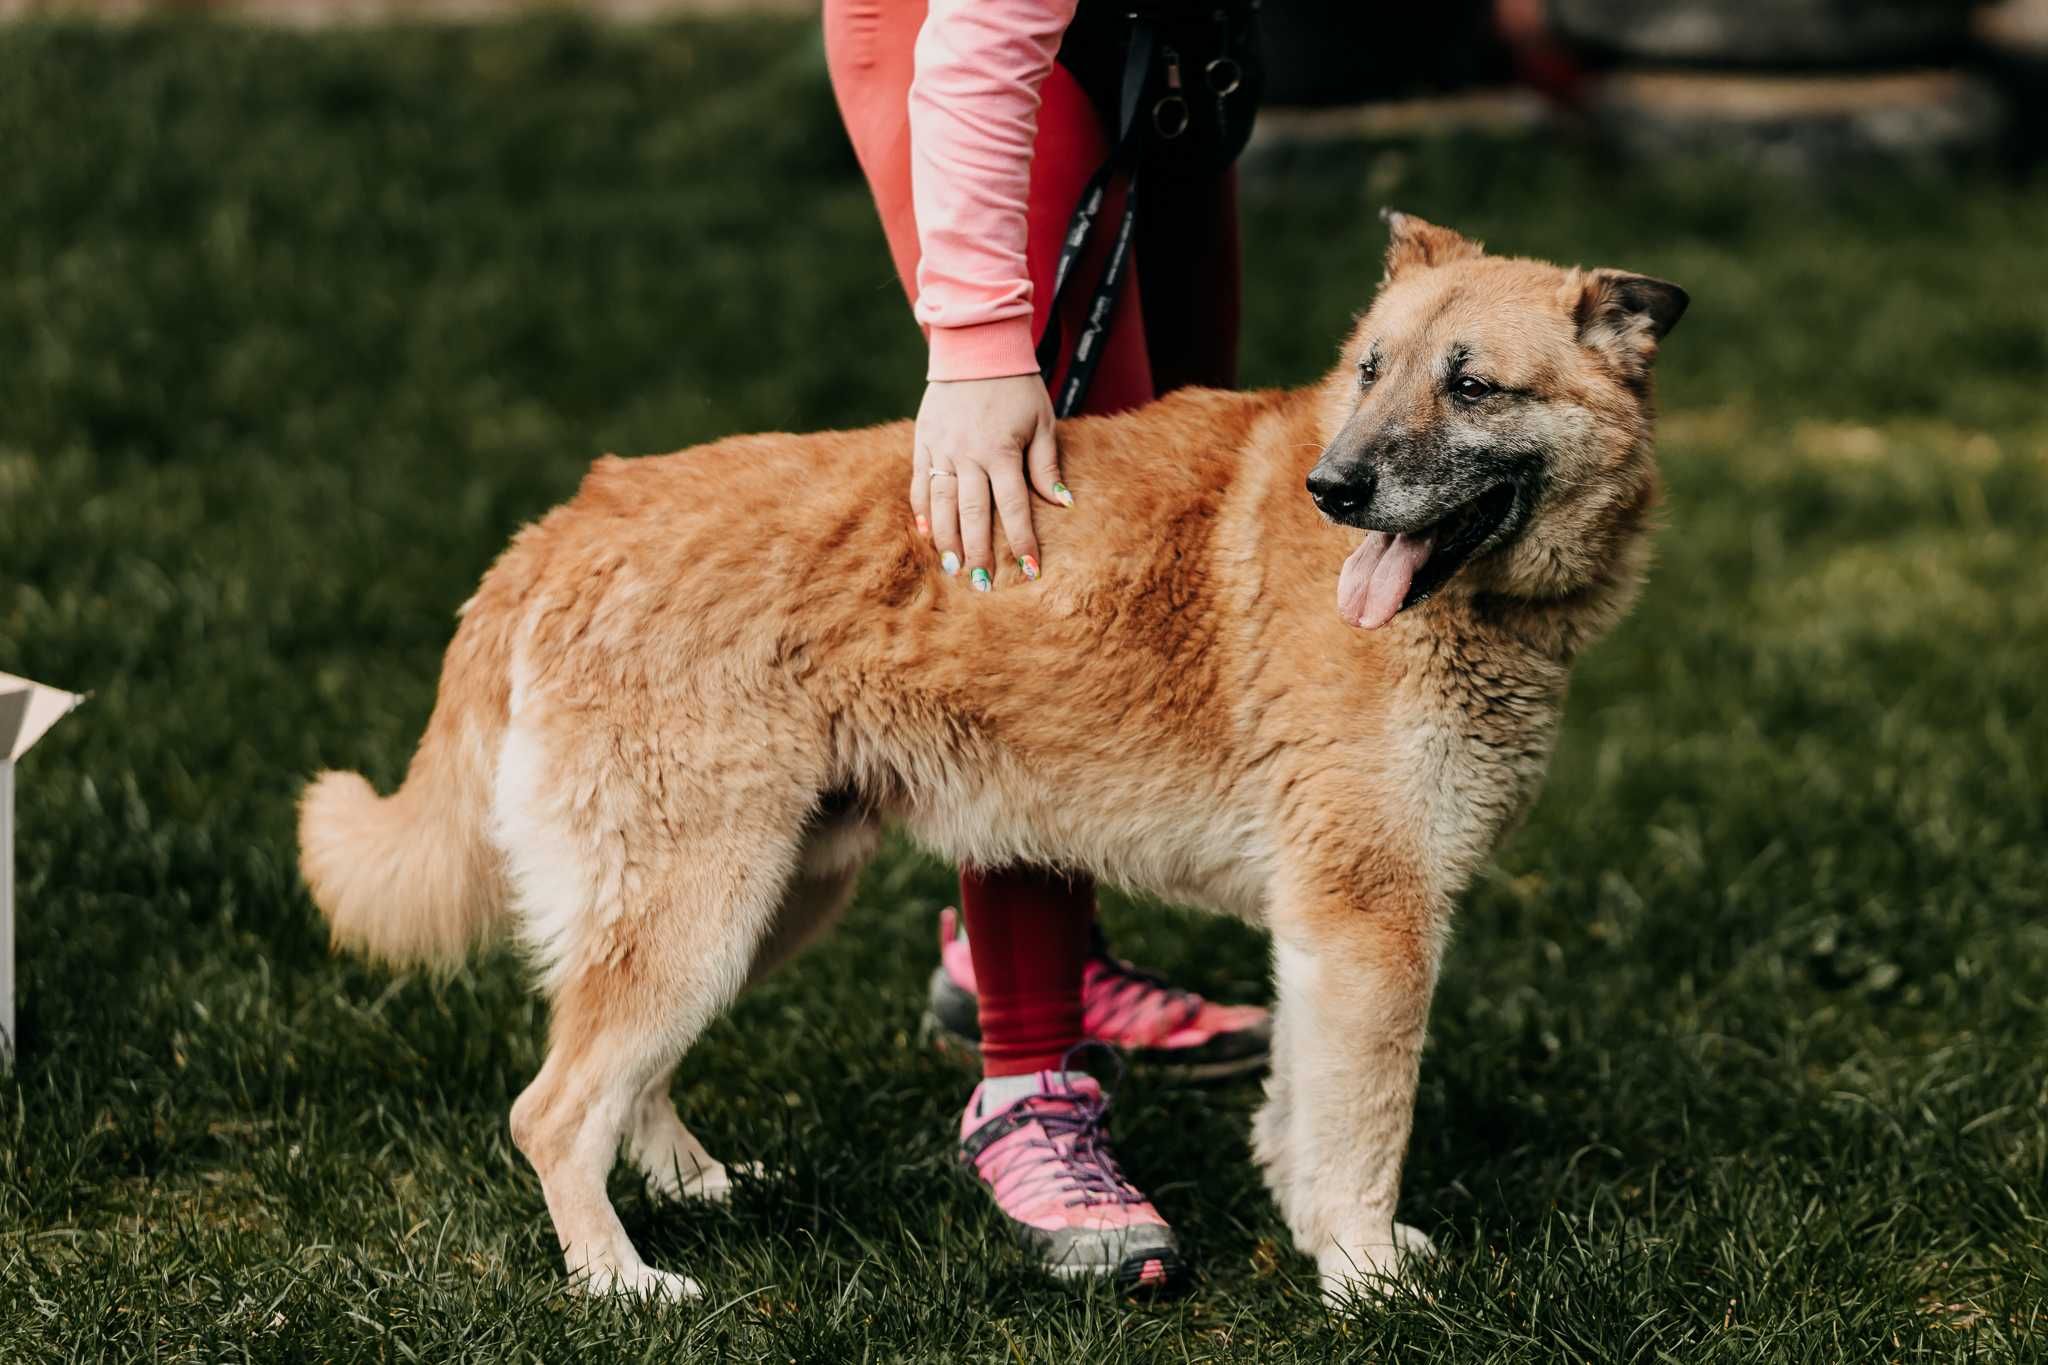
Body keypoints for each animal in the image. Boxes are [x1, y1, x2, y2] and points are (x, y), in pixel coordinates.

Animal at [296, 213, 1687, 1301]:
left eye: (1471, 388)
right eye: (1369, 372)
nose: (1330, 490)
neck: (1475, 614)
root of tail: (568, 518)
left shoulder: (1325, 931)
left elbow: (1303, 1112)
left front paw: (1315, 1237)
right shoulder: (1373, 919)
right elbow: (1364, 1128)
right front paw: (1363, 1274)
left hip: (757, 904)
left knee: (613, 1077)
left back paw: (694, 1188)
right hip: (705, 907)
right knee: (552, 1109)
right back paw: (619, 1283)